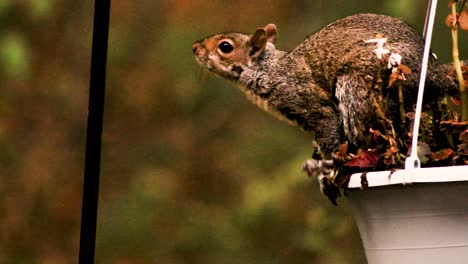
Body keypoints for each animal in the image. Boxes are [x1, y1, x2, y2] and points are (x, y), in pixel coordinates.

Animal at [193, 13, 460, 203]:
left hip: (356, 86)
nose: (195, 48)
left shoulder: (306, 100)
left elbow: (328, 130)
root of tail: (432, 74)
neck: (268, 69)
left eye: (225, 47)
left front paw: (326, 165)